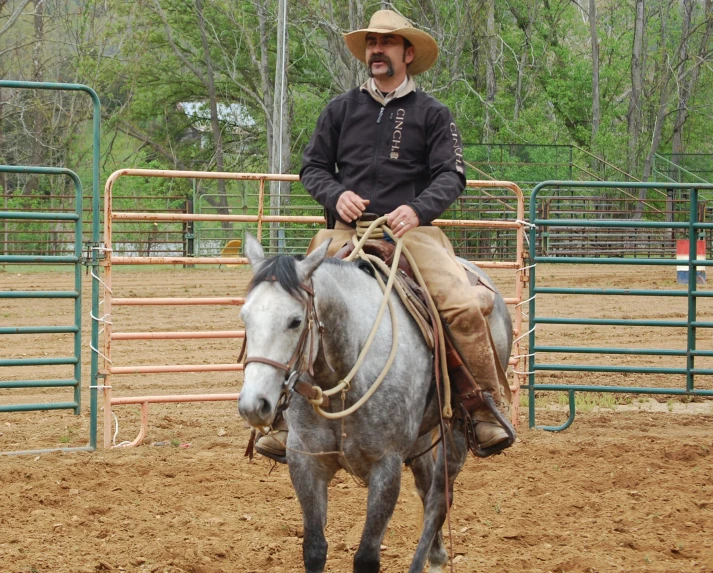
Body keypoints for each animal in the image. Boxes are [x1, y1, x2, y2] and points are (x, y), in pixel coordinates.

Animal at [239, 233, 512, 572]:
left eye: (295, 321)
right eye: (245, 317)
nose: (254, 405)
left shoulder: (386, 466)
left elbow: (367, 556)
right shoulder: (306, 462)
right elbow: (314, 549)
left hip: (457, 430)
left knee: (438, 500)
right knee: (426, 488)